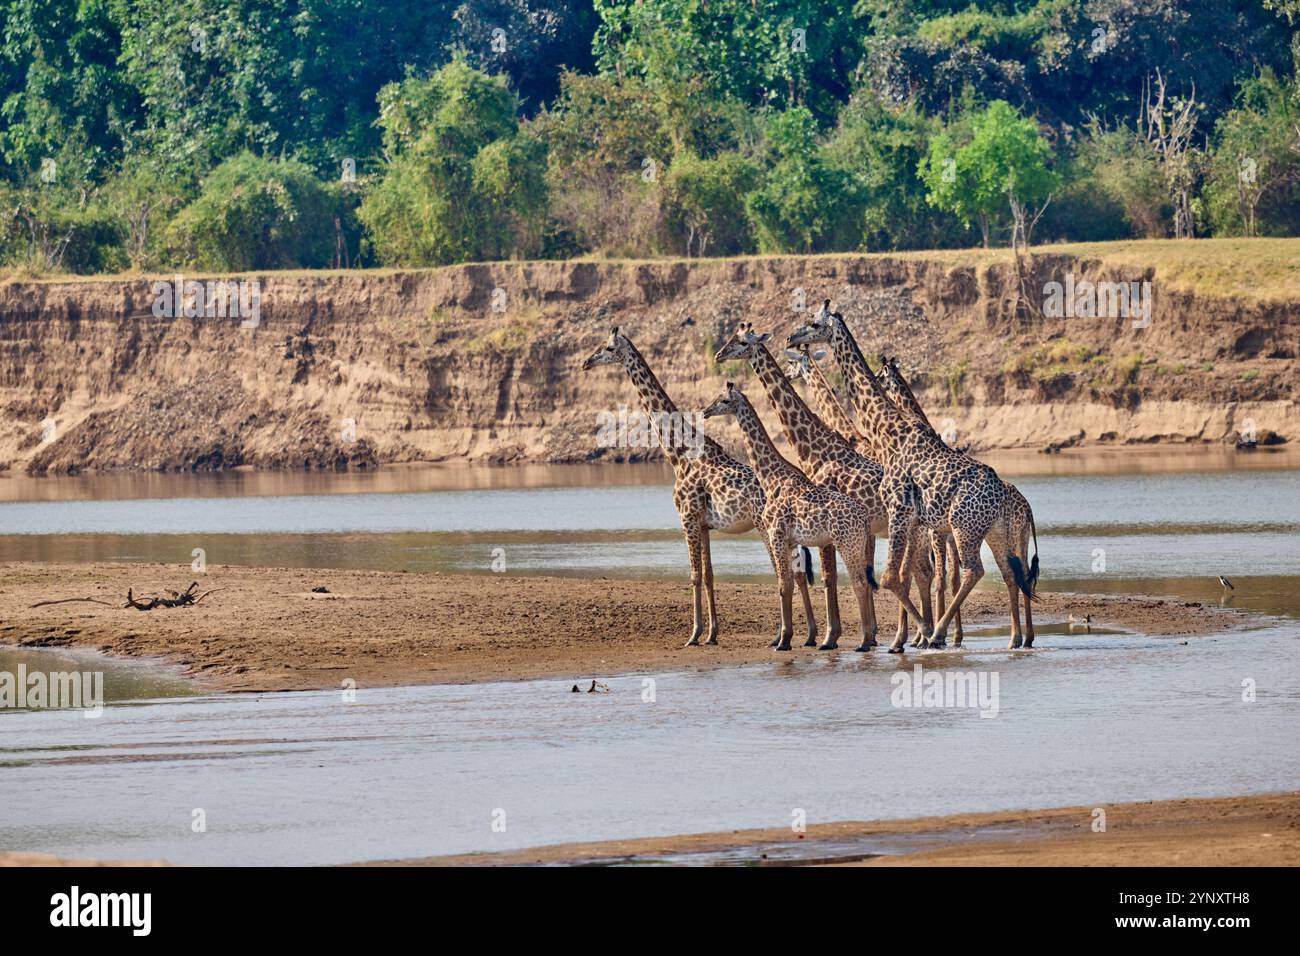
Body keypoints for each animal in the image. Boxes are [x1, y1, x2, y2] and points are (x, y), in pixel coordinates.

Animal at [582, 328, 820, 647]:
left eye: (608, 348)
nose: (586, 362)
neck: (678, 453)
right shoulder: (705, 524)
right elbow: (708, 575)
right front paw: (711, 634)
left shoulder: (688, 518)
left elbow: (694, 575)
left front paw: (693, 634)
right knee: (797, 572)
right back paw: (807, 635)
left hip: (766, 528)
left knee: (786, 573)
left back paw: (789, 635)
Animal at [702, 382, 880, 652]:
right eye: (715, 398)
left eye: (724, 400)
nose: (705, 411)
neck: (771, 477)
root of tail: (863, 518)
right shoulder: (788, 540)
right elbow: (789, 583)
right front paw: (787, 638)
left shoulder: (776, 534)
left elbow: (783, 585)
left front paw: (783, 641)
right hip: (857, 544)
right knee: (865, 581)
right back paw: (868, 639)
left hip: (846, 543)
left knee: (859, 582)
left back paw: (863, 642)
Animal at [878, 354, 1040, 647]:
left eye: (880, 374)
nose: (875, 378)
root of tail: (1028, 509)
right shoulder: (941, 531)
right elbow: (943, 577)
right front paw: (939, 635)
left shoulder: (936, 531)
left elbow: (939, 578)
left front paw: (933, 635)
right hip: (1006, 537)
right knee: (1016, 575)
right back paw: (1020, 638)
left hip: (988, 534)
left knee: (990, 573)